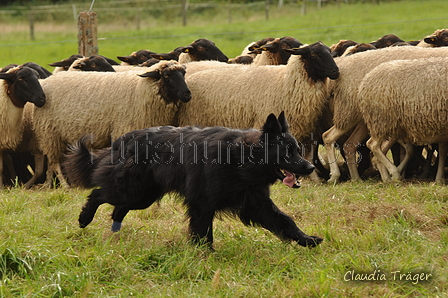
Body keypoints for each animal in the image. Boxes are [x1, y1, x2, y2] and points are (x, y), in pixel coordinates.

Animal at [30, 59, 192, 187]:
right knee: (55, 162)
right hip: (50, 133)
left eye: (183, 73)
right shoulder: (124, 130)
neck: (139, 90)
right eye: (167, 76)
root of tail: (49, 80)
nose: (187, 94)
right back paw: (65, 186)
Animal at [63, 112, 322, 247]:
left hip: (142, 196)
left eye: (297, 150)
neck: (240, 158)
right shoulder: (202, 203)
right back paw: (84, 219)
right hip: (133, 190)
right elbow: (202, 229)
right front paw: (204, 253)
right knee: (98, 194)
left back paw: (114, 233)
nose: (310, 167)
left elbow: (285, 220)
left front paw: (306, 239)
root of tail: (121, 140)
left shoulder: (256, 203)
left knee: (118, 209)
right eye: (287, 152)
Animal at [322, 46, 448, 184]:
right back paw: (336, 175)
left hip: (370, 120)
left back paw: (357, 178)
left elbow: (442, 150)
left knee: (350, 144)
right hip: (353, 111)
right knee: (329, 136)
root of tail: (342, 65)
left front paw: (439, 178)